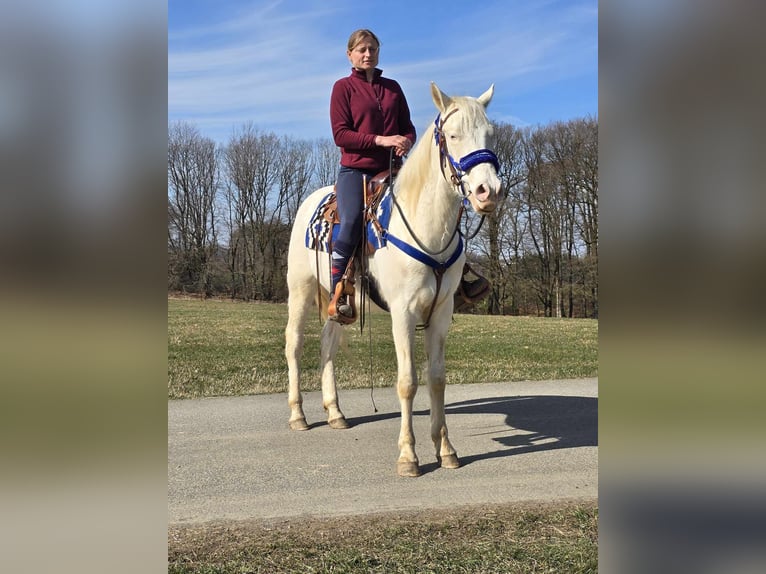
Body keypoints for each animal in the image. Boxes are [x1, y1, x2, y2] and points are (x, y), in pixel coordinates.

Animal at [284, 81, 500, 476]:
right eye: (452, 135)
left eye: (490, 134)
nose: (488, 191)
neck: (425, 225)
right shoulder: (404, 312)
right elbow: (407, 382)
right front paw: (408, 455)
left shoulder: (441, 314)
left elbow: (436, 379)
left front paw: (446, 449)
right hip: (301, 289)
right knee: (295, 343)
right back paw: (298, 415)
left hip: (341, 302)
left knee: (327, 343)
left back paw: (335, 412)